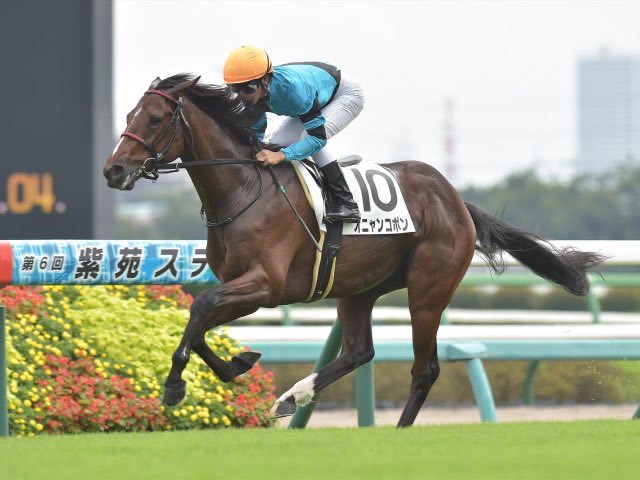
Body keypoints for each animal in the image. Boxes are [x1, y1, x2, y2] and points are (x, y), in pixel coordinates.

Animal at [103, 73, 605, 427]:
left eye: (153, 119)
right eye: (128, 115)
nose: (113, 171)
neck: (245, 189)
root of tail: (456, 200)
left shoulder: (266, 286)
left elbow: (201, 310)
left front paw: (173, 387)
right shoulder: (242, 286)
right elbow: (200, 321)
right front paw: (237, 363)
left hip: (428, 288)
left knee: (425, 369)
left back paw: (396, 429)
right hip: (357, 288)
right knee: (359, 352)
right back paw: (292, 398)